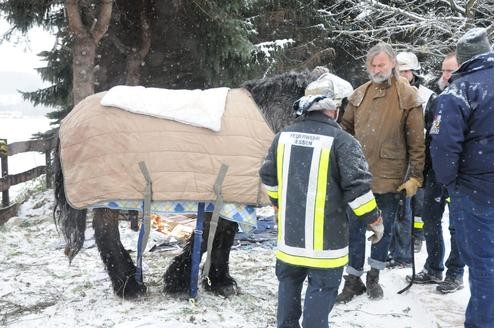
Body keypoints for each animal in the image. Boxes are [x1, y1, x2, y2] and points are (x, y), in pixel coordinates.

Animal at [54, 68, 328, 298]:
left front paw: (217, 281)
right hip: (107, 191)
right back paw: (129, 285)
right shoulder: (223, 196)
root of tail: (68, 120)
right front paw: (180, 280)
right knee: (105, 232)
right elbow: (210, 235)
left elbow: (223, 235)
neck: (265, 117)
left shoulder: (229, 197)